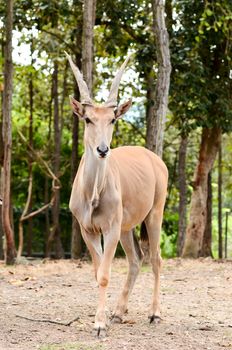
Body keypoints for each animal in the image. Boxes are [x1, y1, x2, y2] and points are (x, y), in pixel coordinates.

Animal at [66, 54, 168, 336]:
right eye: (88, 119)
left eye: (112, 119)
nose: (102, 149)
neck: (93, 194)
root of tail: (156, 160)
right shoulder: (87, 229)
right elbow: (97, 271)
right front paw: (105, 317)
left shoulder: (110, 228)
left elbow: (104, 274)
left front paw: (100, 324)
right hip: (126, 227)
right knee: (136, 259)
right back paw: (119, 312)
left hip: (154, 214)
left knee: (155, 259)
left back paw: (154, 313)